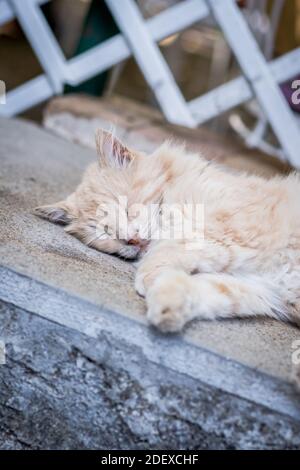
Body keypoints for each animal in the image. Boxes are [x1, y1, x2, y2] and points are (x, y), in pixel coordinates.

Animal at [34, 126, 300, 338]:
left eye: (128, 209)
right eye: (106, 234)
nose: (131, 240)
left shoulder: (234, 228)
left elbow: (176, 247)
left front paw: (150, 279)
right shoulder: (258, 288)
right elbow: (198, 288)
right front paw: (167, 307)